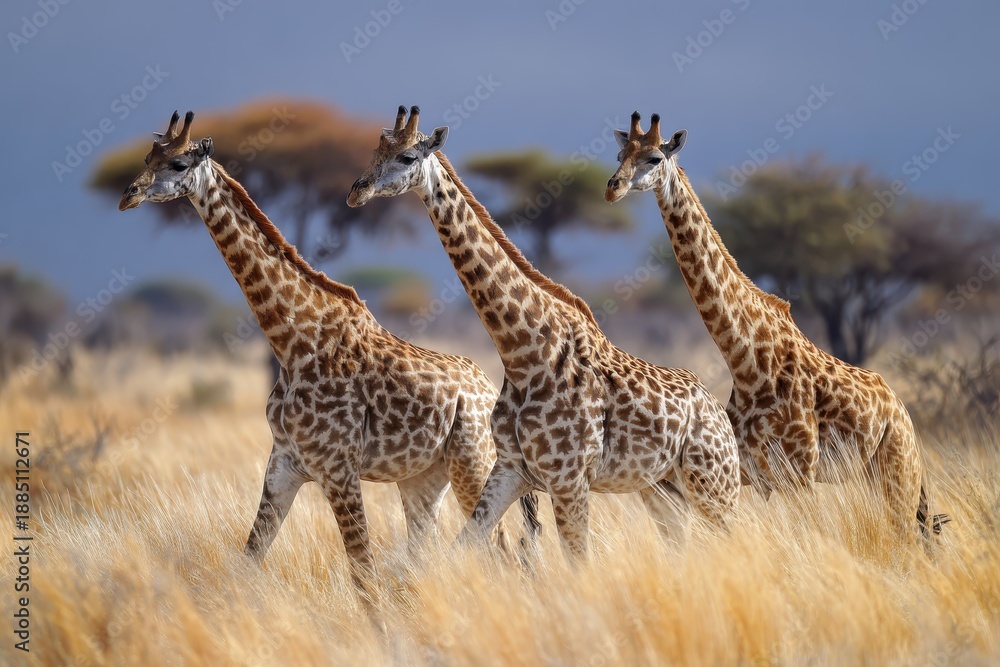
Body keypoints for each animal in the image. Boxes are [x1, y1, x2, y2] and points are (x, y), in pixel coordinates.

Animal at [117, 111, 539, 595]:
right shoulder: (283, 463)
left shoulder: (338, 468)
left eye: (179, 163)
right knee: (432, 549)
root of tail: (490, 388)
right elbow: (249, 558)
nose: (128, 195)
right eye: (147, 158)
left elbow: (363, 575)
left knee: (499, 549)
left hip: (473, 463)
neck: (292, 342)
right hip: (422, 477)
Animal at [347, 106, 741, 560]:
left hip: (713, 480)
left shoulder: (570, 479)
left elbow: (578, 561)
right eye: (374, 150)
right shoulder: (511, 469)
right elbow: (465, 546)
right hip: (662, 487)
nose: (356, 192)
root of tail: (720, 412)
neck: (522, 353)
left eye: (408, 156)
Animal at [604, 112, 948, 540]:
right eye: (620, 155)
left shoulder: (800, 474)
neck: (745, 359)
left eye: (654, 158)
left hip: (897, 471)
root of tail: (902, 413)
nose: (613, 188)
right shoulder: (750, 470)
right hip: (873, 476)